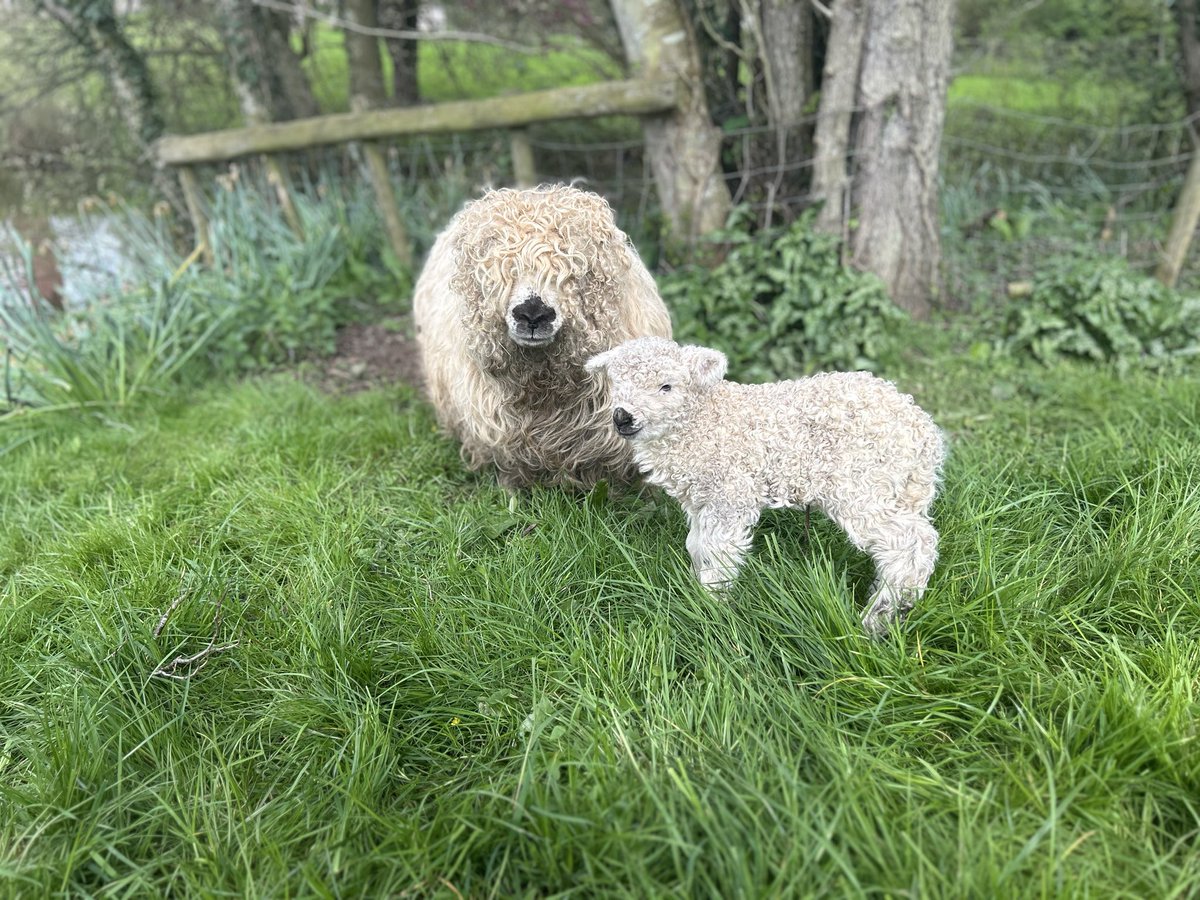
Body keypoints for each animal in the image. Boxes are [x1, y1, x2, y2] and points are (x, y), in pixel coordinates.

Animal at [586, 337, 946, 637]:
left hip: (861, 483)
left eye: (666, 386)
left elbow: (718, 551)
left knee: (913, 542)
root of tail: (923, 431)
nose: (623, 417)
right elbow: (696, 545)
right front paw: (695, 592)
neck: (703, 422)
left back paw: (879, 617)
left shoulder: (730, 493)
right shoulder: (701, 498)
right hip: (897, 488)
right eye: (618, 383)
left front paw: (710, 605)